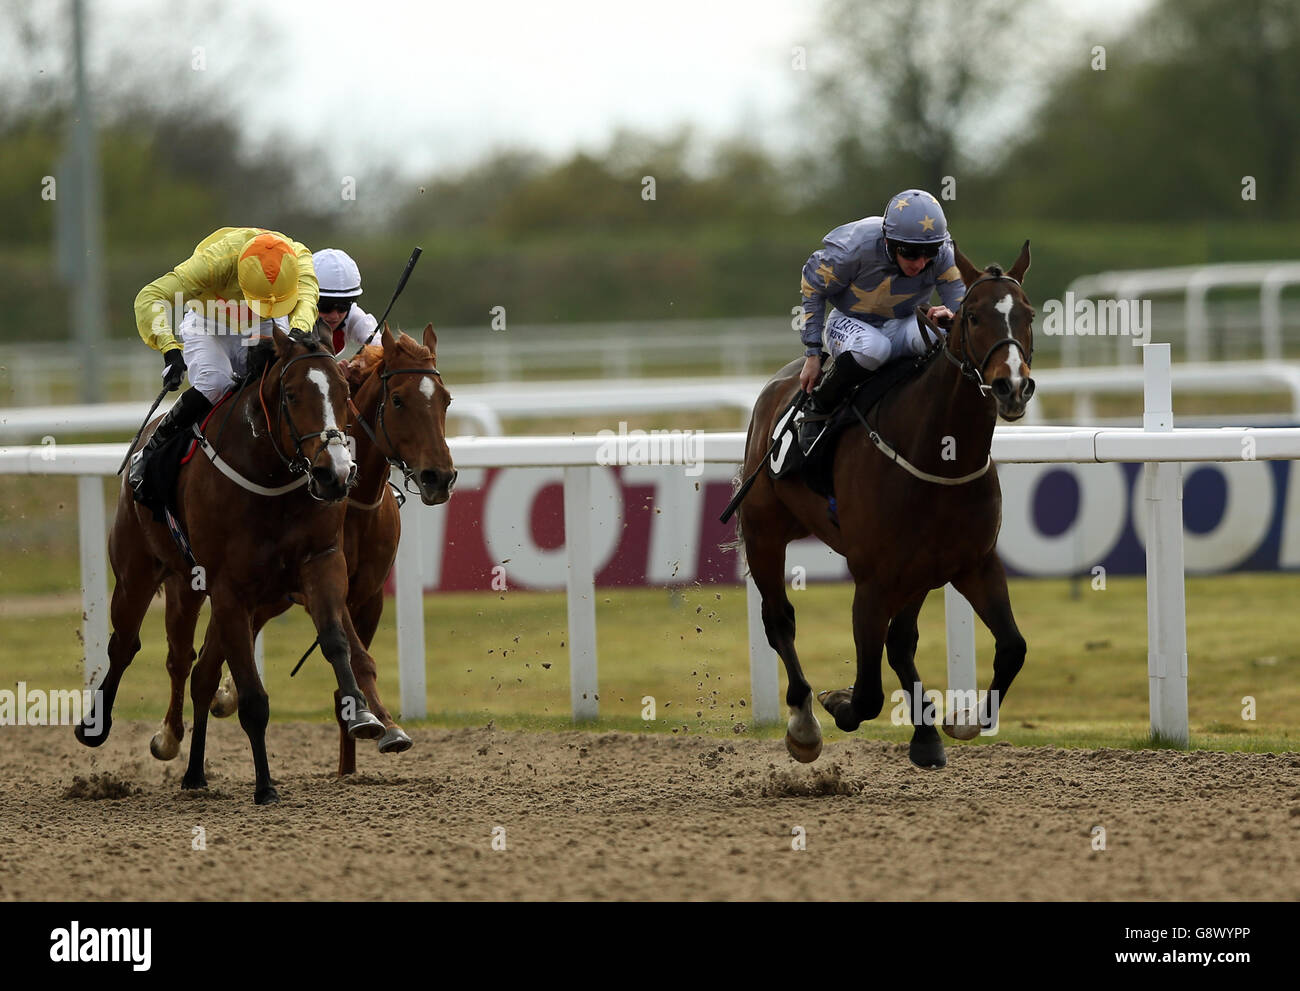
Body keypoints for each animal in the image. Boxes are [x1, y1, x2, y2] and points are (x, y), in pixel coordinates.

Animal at [77, 323, 384, 801]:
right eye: (292, 394)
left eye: (344, 392)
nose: (335, 473)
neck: (269, 475)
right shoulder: (228, 588)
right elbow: (252, 697)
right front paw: (265, 786)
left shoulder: (321, 562)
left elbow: (336, 641)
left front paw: (363, 715)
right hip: (136, 574)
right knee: (126, 645)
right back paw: (98, 726)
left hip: (193, 586)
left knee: (191, 663)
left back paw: (191, 770)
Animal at [189, 323, 457, 769]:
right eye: (398, 399)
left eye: (445, 399)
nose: (440, 477)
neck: (356, 503)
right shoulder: (327, 580)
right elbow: (359, 657)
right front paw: (386, 726)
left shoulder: (367, 594)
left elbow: (352, 659)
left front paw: (355, 753)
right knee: (209, 657)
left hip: (269, 596)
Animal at [743, 243, 1034, 769]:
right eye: (974, 316)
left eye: (1029, 314)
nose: (1013, 387)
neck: (938, 454)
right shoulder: (874, 578)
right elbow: (868, 692)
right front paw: (837, 702)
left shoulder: (970, 562)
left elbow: (1012, 647)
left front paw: (959, 721)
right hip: (763, 531)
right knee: (779, 619)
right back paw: (803, 723)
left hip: (917, 571)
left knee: (901, 643)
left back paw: (925, 733)